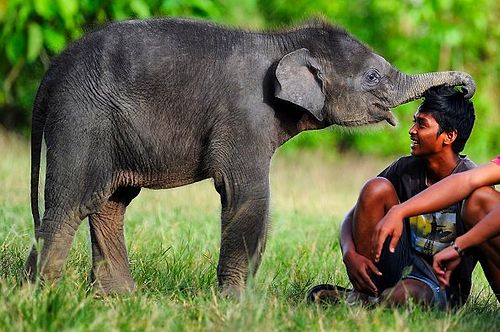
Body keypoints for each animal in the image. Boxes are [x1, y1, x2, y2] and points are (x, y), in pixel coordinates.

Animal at [25, 16, 474, 296]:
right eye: (373, 77)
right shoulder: (245, 115)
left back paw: (116, 297)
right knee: (70, 204)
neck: (285, 42)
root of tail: (54, 68)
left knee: (110, 204)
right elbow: (248, 196)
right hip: (82, 119)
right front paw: (236, 302)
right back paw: (44, 297)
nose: (463, 88)